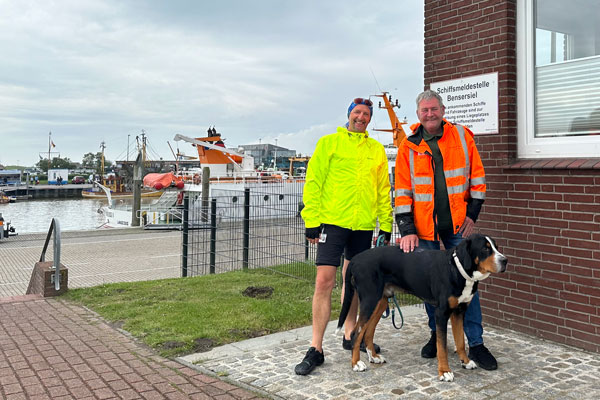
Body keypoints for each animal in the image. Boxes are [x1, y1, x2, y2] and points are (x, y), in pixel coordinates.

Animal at [336, 234, 508, 382]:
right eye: (485, 248)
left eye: (497, 247)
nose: (505, 260)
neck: (457, 270)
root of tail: (356, 259)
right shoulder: (441, 313)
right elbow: (442, 346)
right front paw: (444, 371)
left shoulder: (459, 312)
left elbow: (460, 341)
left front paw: (465, 362)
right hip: (369, 300)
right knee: (356, 333)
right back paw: (356, 364)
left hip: (380, 302)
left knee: (368, 331)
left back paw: (374, 357)